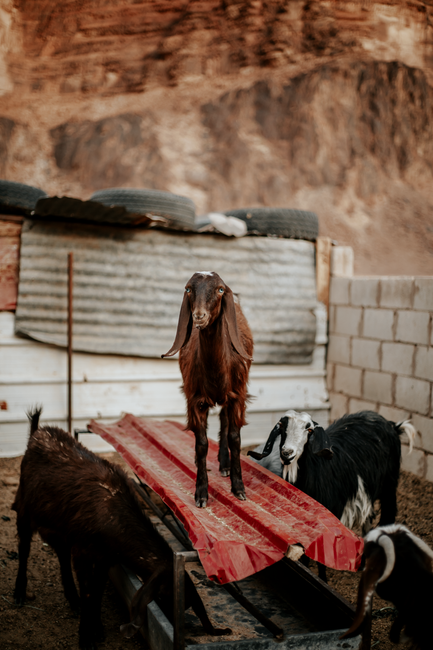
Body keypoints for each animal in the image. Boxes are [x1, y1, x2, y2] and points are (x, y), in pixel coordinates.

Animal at [12, 408, 231, 649]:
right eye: (164, 596)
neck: (112, 513)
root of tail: (37, 432)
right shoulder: (83, 552)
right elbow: (88, 591)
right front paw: (85, 637)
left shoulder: (105, 557)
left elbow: (97, 591)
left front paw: (97, 628)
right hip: (24, 509)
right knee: (24, 548)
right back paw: (19, 593)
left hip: (60, 526)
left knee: (60, 553)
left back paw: (72, 598)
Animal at [162, 271, 253, 508]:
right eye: (188, 289)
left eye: (220, 289)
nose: (199, 316)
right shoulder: (195, 400)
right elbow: (201, 444)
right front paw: (201, 493)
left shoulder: (237, 396)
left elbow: (235, 438)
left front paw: (238, 488)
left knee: (224, 418)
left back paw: (224, 464)